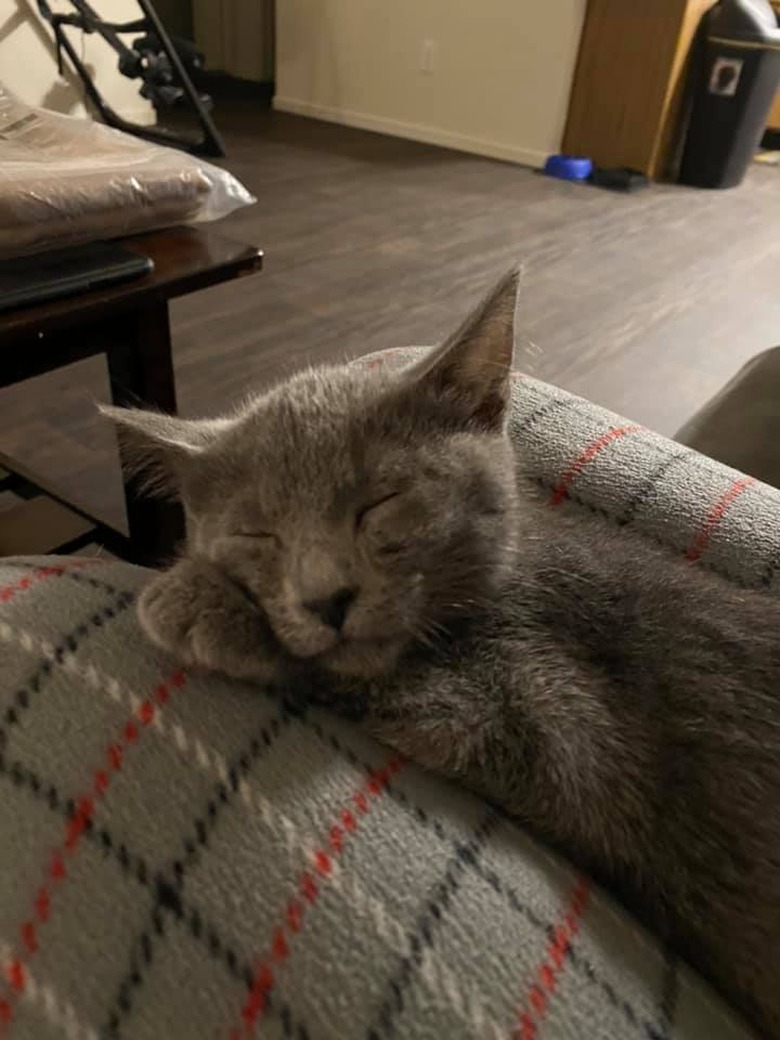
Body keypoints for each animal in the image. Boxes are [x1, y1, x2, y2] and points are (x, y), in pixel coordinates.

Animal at [104, 272, 780, 1035]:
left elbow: (404, 684)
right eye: (257, 534)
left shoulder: (562, 730)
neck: (512, 580)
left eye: (381, 502)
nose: (326, 598)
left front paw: (192, 601)